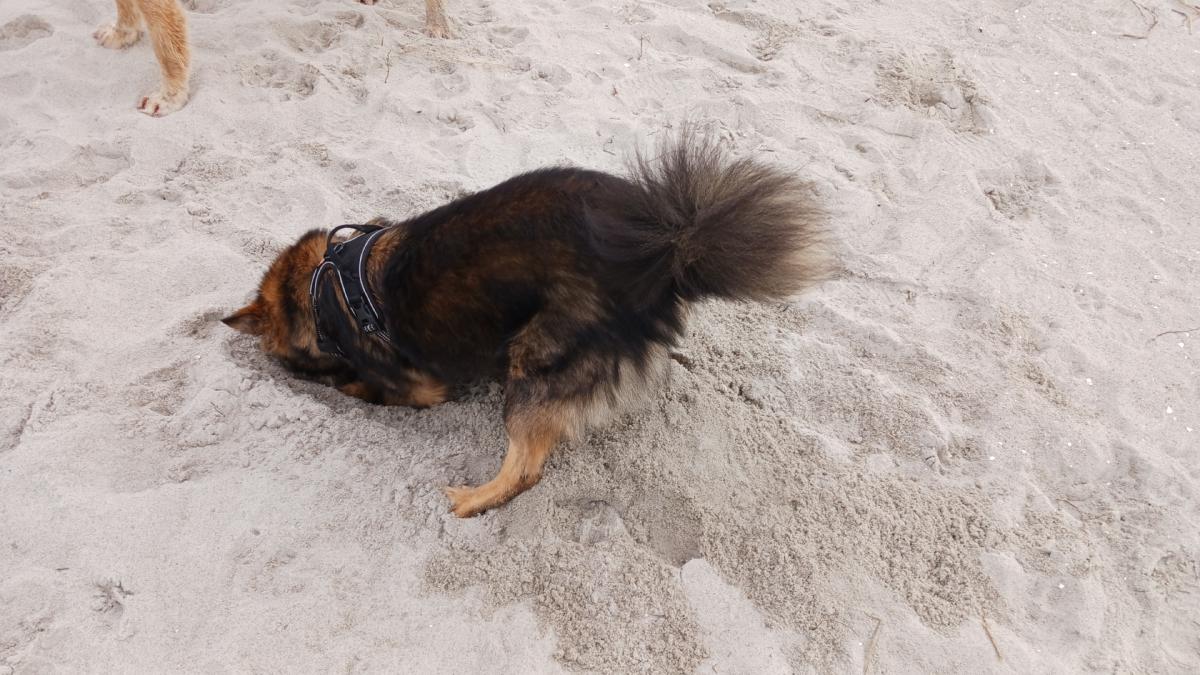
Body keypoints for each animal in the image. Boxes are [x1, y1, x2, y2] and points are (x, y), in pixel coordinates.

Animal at [222, 132, 829, 517]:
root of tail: (668, 253)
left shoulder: (420, 388)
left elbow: (368, 388)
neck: (321, 281)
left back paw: (474, 499)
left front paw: (347, 385)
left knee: (526, 469)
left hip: (535, 359)